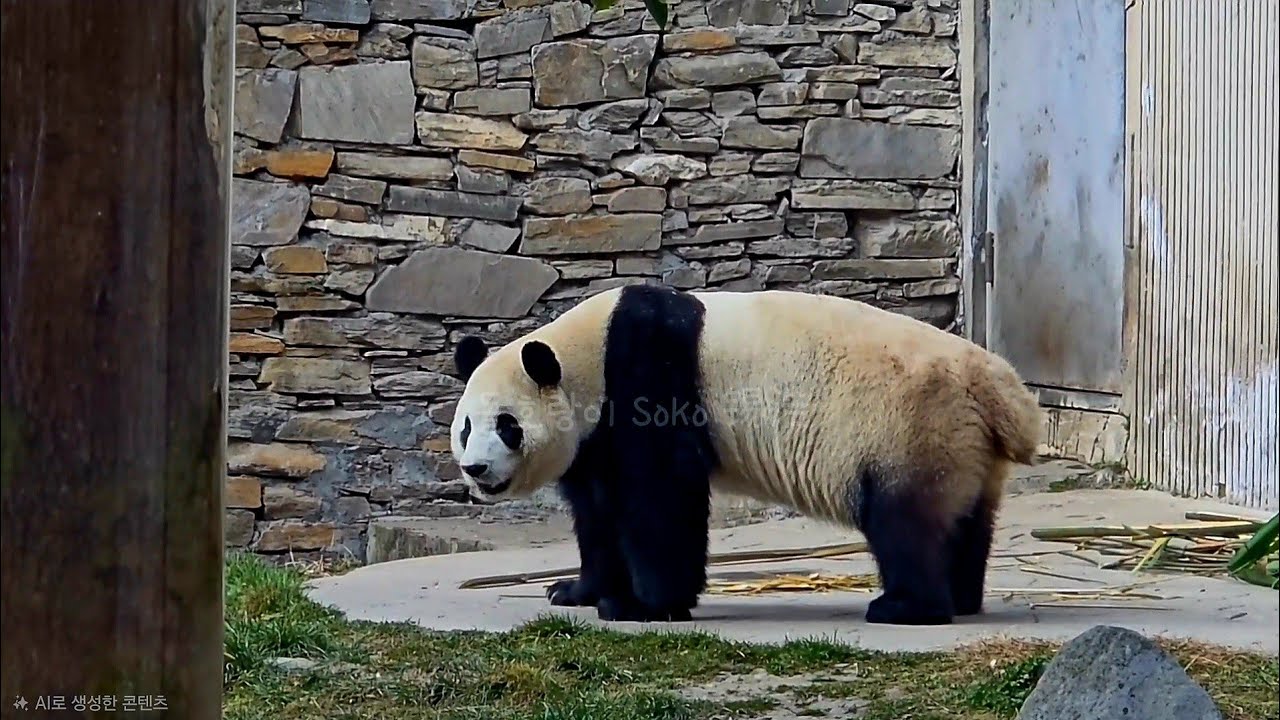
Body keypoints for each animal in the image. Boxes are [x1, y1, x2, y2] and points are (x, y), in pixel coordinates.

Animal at [450, 284, 1043, 626]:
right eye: (465, 428)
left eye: (507, 426)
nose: (476, 471)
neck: (586, 355)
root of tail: (999, 388)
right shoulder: (595, 441)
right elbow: (596, 512)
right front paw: (574, 590)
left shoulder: (649, 378)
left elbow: (661, 502)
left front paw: (643, 606)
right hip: (961, 445)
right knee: (964, 521)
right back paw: (961, 597)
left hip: (906, 428)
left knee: (905, 524)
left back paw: (906, 607)